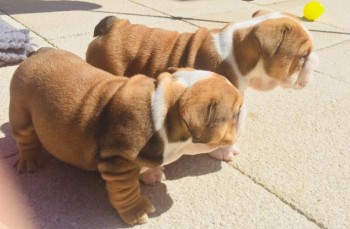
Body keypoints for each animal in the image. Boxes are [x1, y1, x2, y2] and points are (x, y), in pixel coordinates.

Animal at [8, 47, 243, 225]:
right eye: (236, 111)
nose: (245, 111)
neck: (166, 111)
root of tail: (37, 53)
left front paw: (151, 172)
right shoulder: (118, 164)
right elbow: (127, 191)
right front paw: (137, 211)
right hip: (21, 112)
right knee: (26, 139)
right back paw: (30, 161)